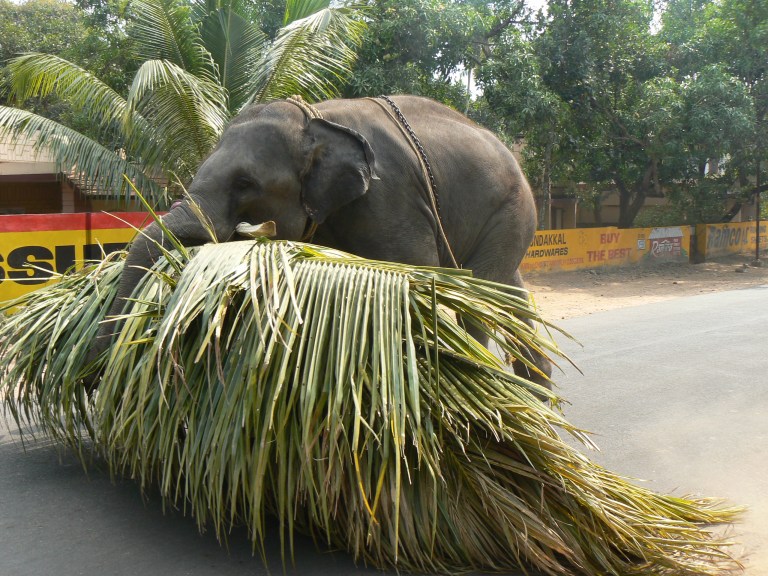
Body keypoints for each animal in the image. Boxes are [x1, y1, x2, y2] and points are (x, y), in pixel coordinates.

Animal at [87, 95, 552, 390]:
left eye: (245, 184)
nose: (93, 377)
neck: (318, 120)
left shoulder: (391, 198)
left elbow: (415, 281)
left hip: (511, 208)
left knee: (482, 302)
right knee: (513, 299)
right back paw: (537, 400)